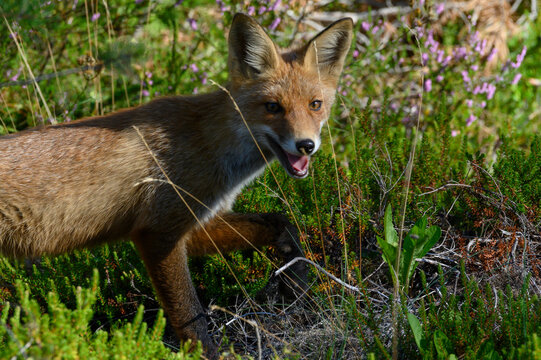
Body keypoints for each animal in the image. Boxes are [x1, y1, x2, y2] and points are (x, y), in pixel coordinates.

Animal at [0, 13, 352, 352]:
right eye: (273, 107)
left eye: (315, 105)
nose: (306, 145)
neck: (209, 143)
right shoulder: (158, 232)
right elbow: (190, 317)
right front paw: (205, 353)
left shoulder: (196, 224)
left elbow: (282, 223)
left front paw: (299, 282)